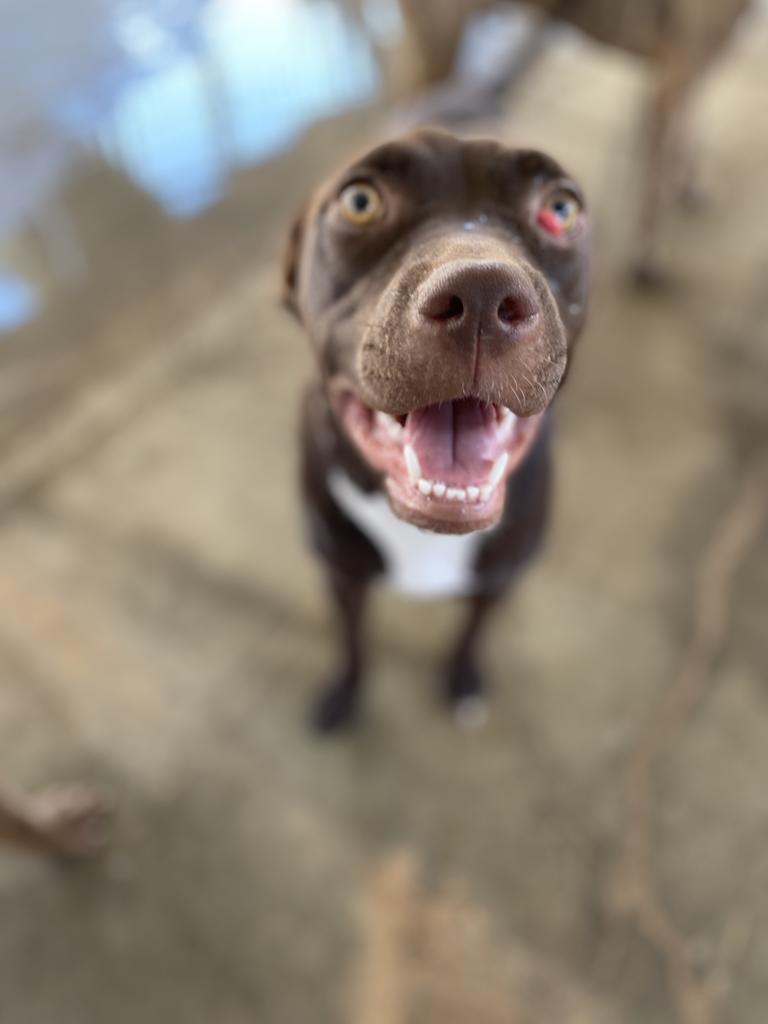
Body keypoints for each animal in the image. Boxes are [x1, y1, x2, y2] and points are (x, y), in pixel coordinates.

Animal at [286, 128, 593, 733]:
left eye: (560, 209)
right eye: (360, 201)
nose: (482, 293)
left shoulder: (495, 582)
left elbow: (472, 633)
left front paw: (464, 679)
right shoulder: (341, 577)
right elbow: (352, 640)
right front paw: (343, 692)